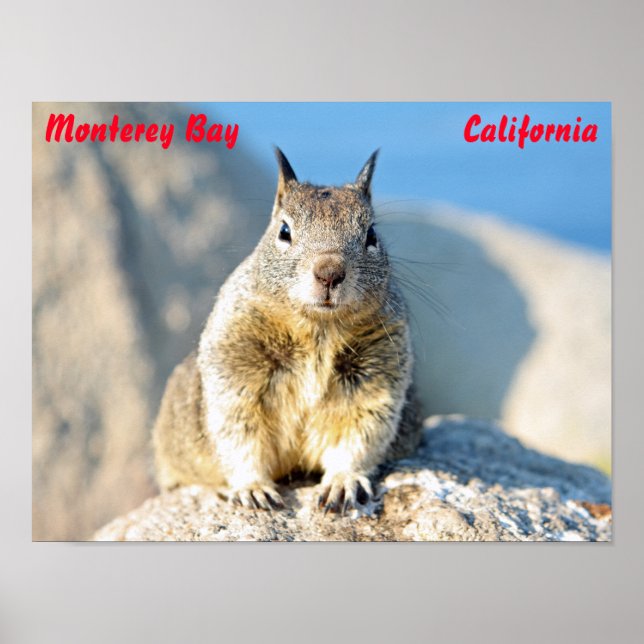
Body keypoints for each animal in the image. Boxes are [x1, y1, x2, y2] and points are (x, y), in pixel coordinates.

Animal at [153, 148, 421, 513]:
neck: (319, 330)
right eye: (284, 231)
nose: (330, 272)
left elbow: (359, 435)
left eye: (371, 235)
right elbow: (239, 435)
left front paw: (343, 482)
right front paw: (253, 489)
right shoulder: (235, 369)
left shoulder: (376, 378)